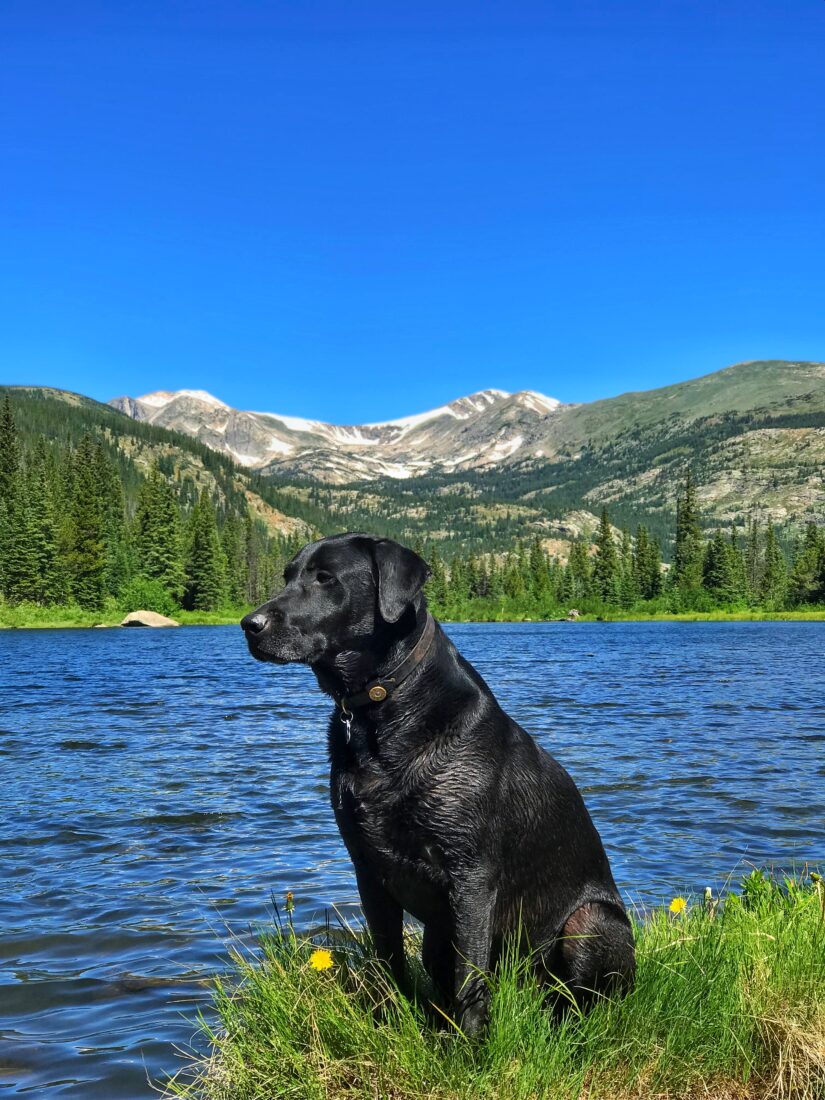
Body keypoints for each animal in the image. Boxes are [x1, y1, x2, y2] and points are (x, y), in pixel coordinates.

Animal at [242, 532, 638, 1029]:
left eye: (326, 578)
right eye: (287, 576)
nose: (248, 624)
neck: (382, 708)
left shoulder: (471, 877)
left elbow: (469, 980)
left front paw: (469, 1047)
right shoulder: (368, 869)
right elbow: (388, 960)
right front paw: (390, 1023)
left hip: (588, 923)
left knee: (584, 1002)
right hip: (437, 936)